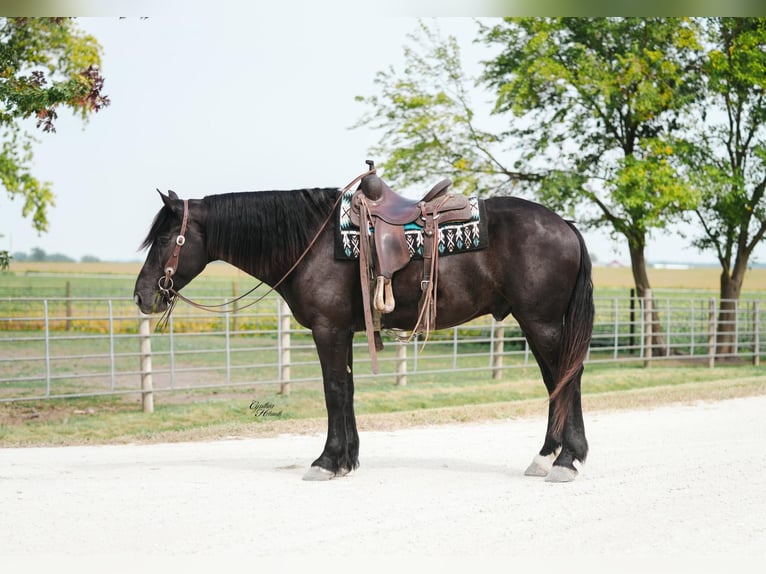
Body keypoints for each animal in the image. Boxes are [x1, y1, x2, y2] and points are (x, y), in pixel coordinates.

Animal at [133, 174, 594, 483]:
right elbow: (348, 391)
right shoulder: (346, 331)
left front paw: (326, 461)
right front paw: (347, 459)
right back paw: (551, 457)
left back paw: (564, 461)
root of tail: (566, 226)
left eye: (165, 239)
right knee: (560, 380)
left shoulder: (328, 329)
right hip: (538, 324)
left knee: (565, 380)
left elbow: (334, 391)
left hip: (542, 323)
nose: (142, 296)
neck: (312, 243)